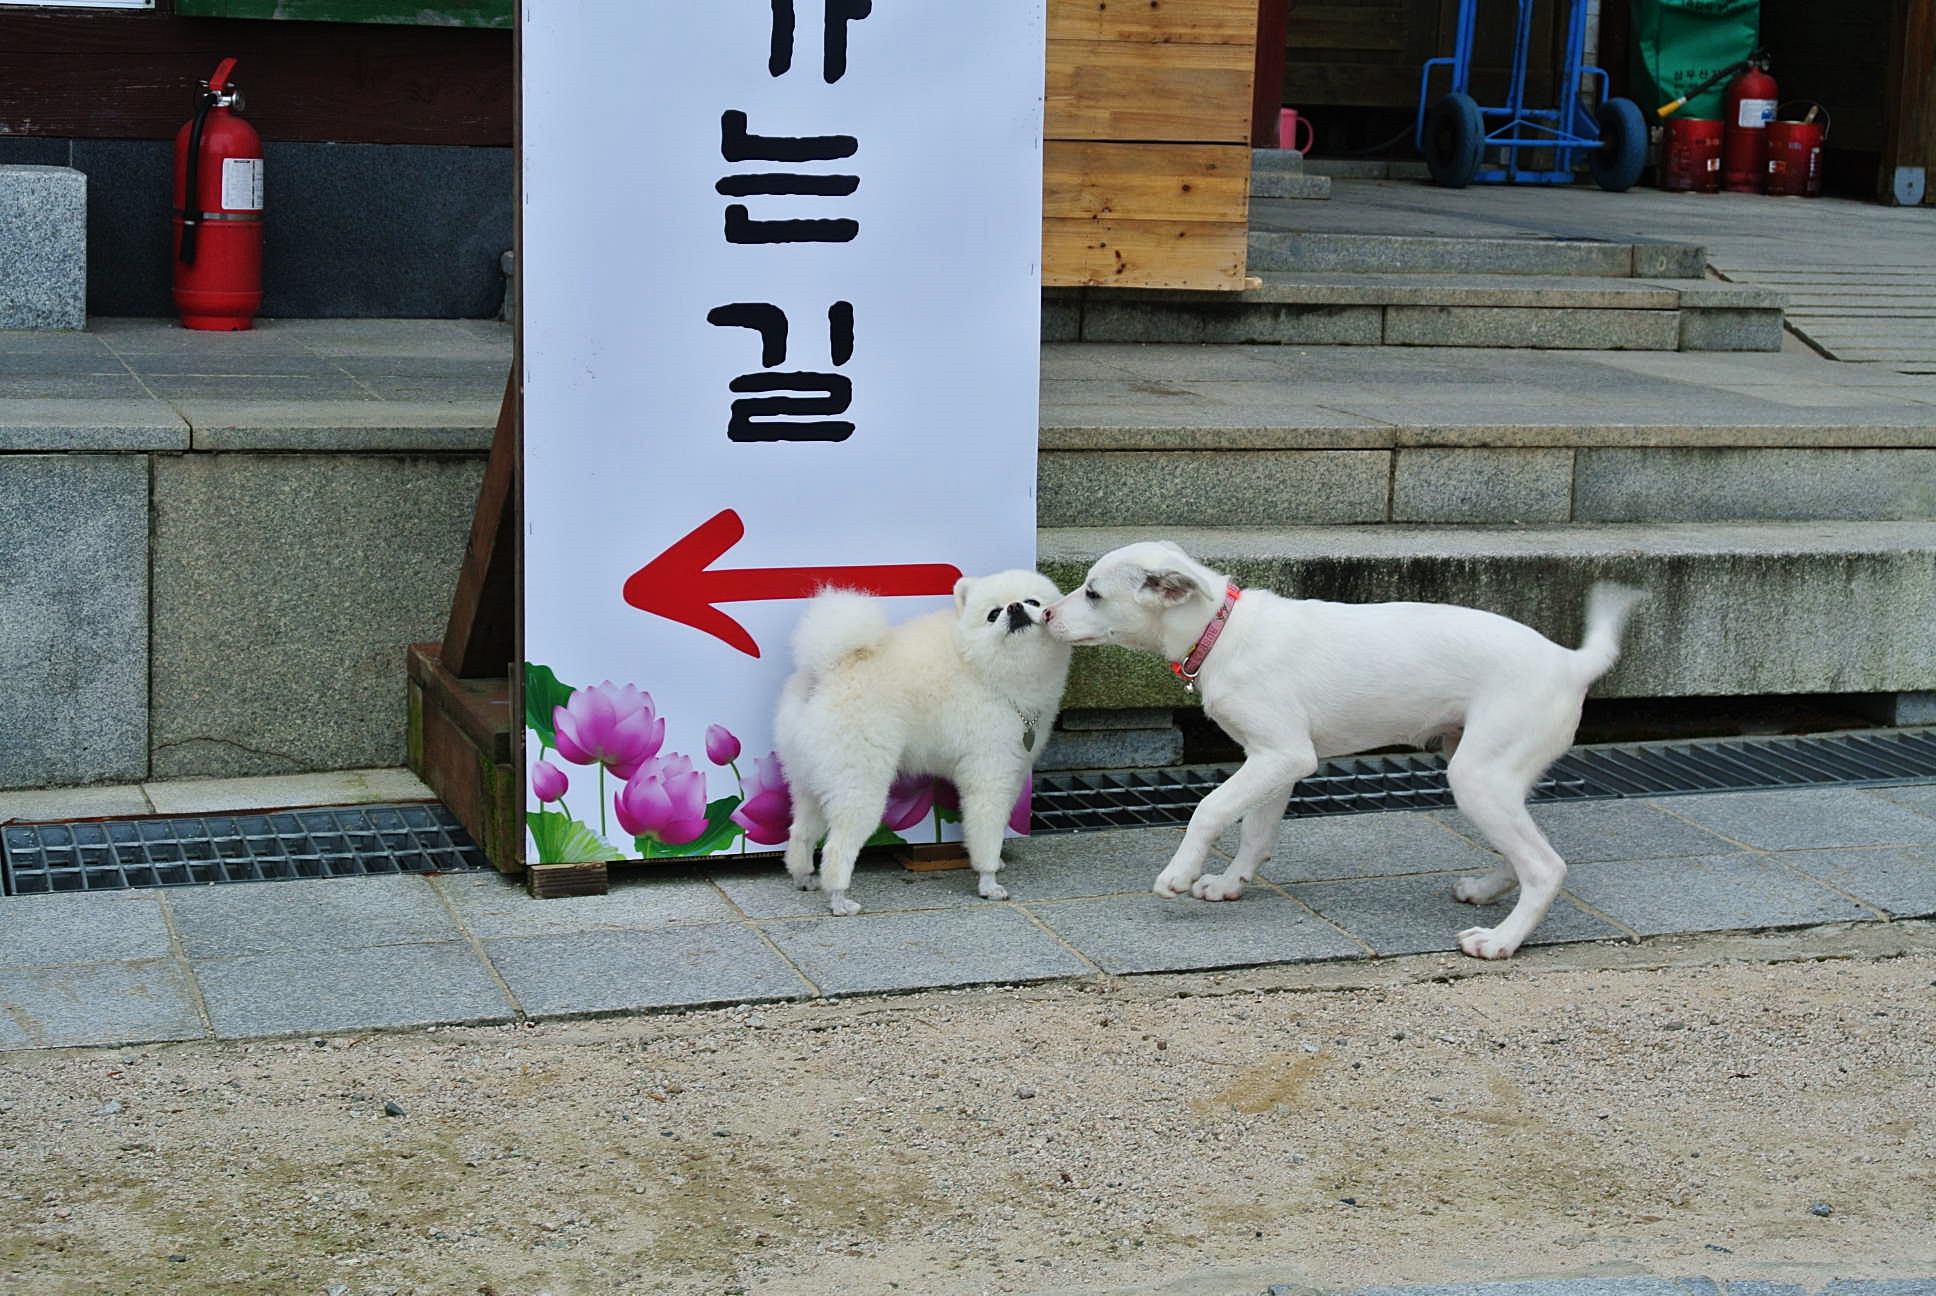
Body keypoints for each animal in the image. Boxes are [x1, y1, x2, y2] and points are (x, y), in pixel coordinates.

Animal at [775, 570, 1072, 916]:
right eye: (993, 614)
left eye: (1033, 602)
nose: (1014, 607)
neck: (986, 670)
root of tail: (826, 671)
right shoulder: (989, 773)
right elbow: (985, 830)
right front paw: (988, 881)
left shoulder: (1012, 770)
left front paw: (996, 862)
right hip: (859, 781)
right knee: (837, 847)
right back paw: (839, 898)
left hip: (809, 777)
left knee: (800, 832)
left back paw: (803, 876)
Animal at [1043, 541, 1646, 959]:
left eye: (1093, 592)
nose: (1044, 614)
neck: (1222, 631)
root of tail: (1570, 662)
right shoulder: (1274, 760)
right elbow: (1255, 831)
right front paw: (1231, 883)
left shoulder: (1283, 756)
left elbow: (1209, 809)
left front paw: (1181, 873)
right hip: (1486, 774)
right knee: (1523, 851)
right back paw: (1484, 891)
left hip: (1478, 775)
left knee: (1545, 866)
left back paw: (1499, 941)